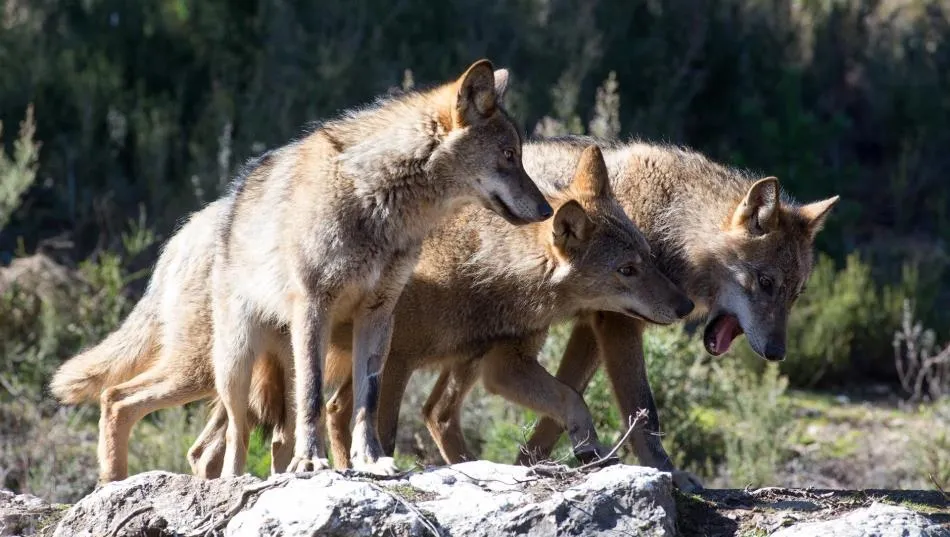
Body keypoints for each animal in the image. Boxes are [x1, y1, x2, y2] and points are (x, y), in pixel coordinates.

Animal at [51, 59, 553, 482]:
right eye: (509, 156)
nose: (548, 210)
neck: (377, 201)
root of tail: (183, 234)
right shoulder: (315, 306)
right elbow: (314, 399)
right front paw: (311, 463)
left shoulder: (378, 316)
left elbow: (367, 402)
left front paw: (370, 461)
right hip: (224, 366)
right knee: (139, 407)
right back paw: (138, 484)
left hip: (261, 366)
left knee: (248, 437)